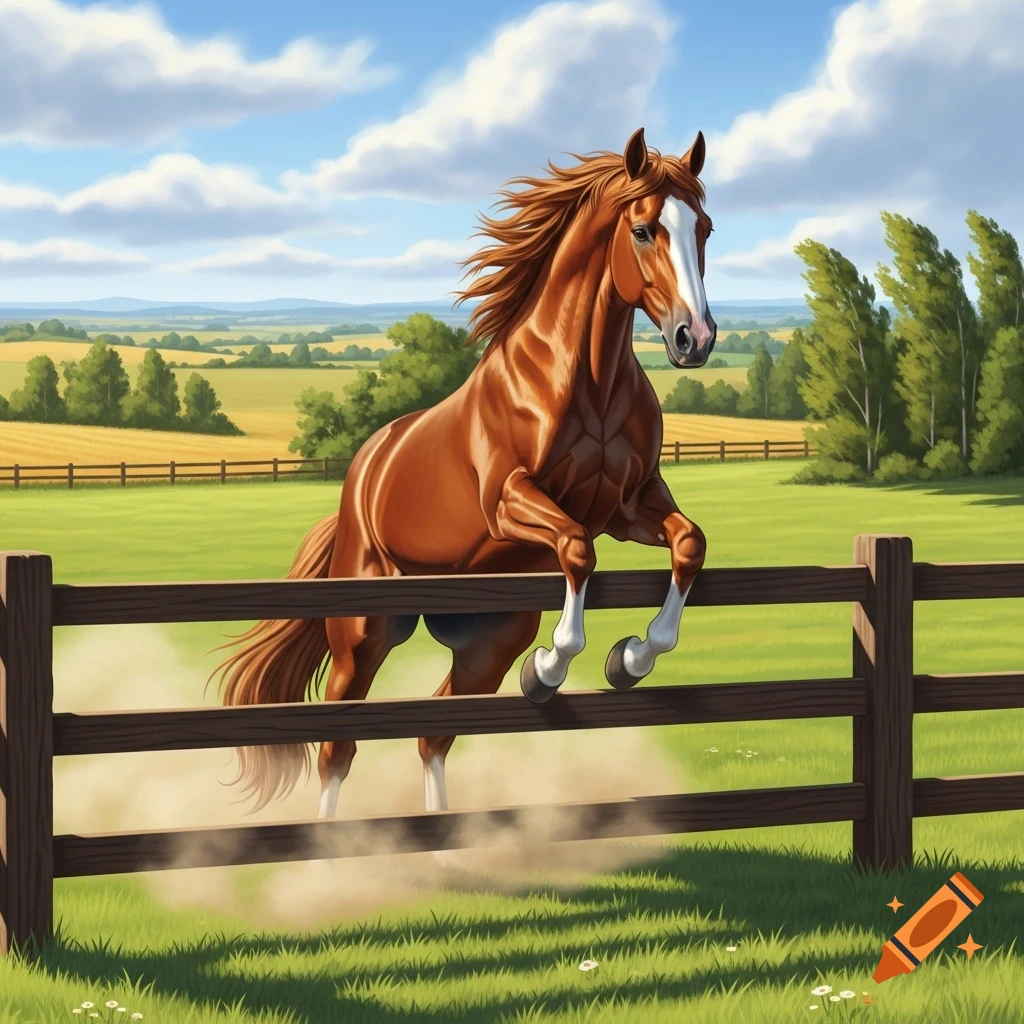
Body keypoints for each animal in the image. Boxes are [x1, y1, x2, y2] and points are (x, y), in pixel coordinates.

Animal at [211, 127, 716, 825]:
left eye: (705, 229)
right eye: (643, 230)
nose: (696, 338)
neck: (586, 382)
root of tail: (361, 473)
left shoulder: (629, 504)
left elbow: (689, 543)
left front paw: (630, 659)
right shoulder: (511, 503)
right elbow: (577, 552)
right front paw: (552, 665)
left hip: (488, 642)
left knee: (434, 731)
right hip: (363, 632)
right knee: (337, 744)